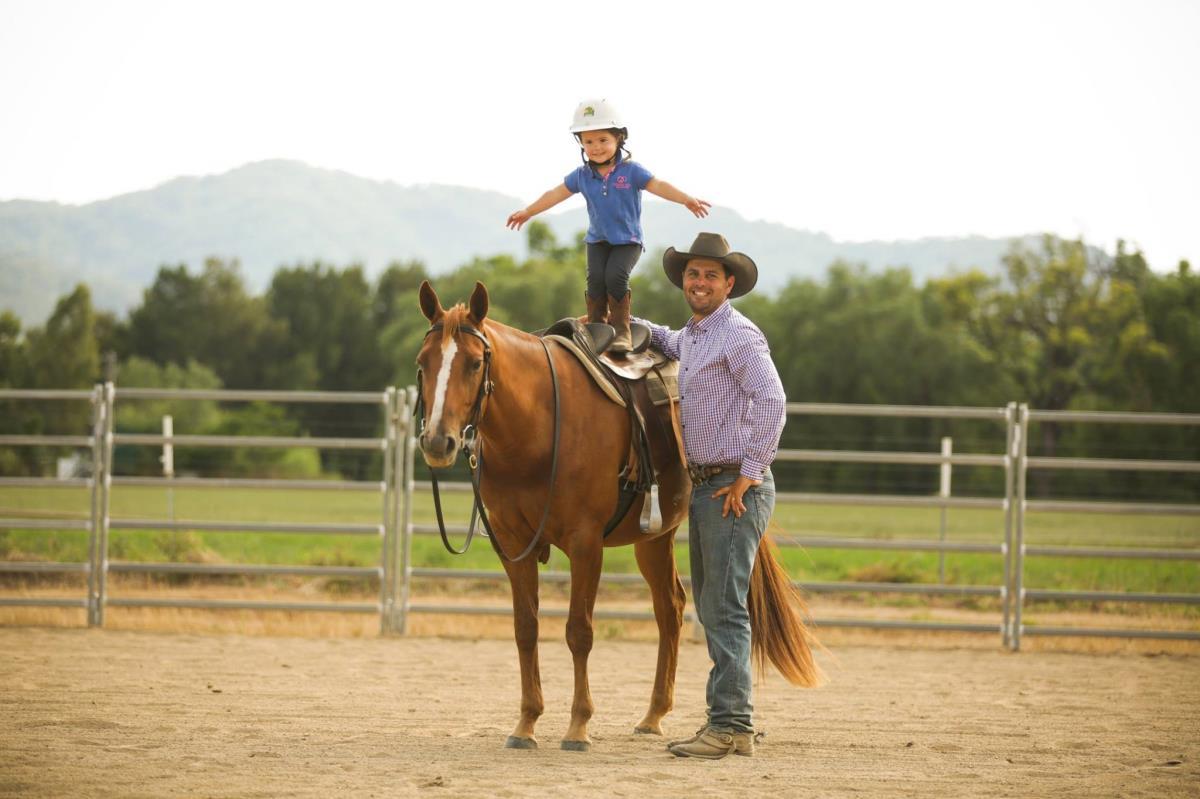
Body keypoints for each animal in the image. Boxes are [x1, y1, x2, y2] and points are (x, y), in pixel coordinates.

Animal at [414, 280, 820, 752]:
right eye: (422, 363)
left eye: (475, 363)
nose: (437, 442)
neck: (538, 429)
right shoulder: (513, 545)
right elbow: (525, 629)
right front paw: (526, 724)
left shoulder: (585, 543)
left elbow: (579, 631)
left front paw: (578, 727)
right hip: (654, 538)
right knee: (670, 607)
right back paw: (653, 715)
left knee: (676, 610)